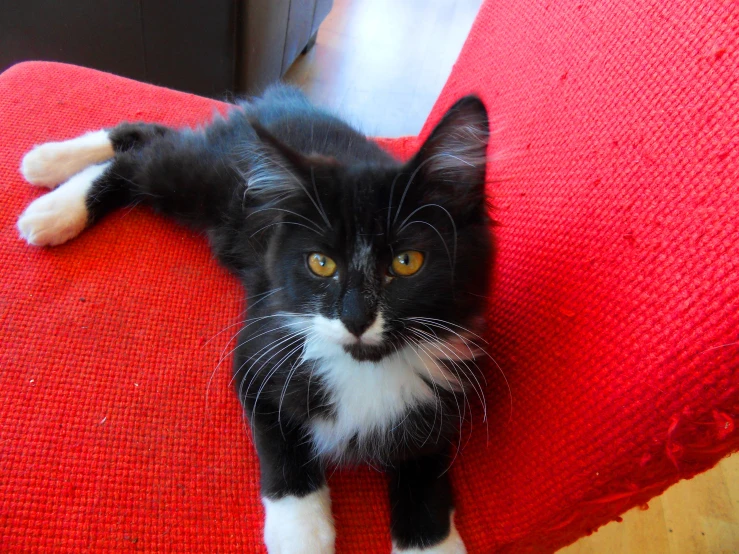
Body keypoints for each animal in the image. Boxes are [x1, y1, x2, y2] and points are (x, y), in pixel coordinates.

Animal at [17, 85, 494, 552]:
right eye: (320, 263)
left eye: (407, 262)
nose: (356, 318)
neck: (365, 367)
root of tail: (283, 99)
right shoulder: (259, 350)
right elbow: (282, 449)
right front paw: (302, 534)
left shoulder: (448, 386)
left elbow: (426, 469)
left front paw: (431, 539)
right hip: (208, 182)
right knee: (144, 157)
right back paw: (53, 195)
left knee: (155, 137)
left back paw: (51, 167)